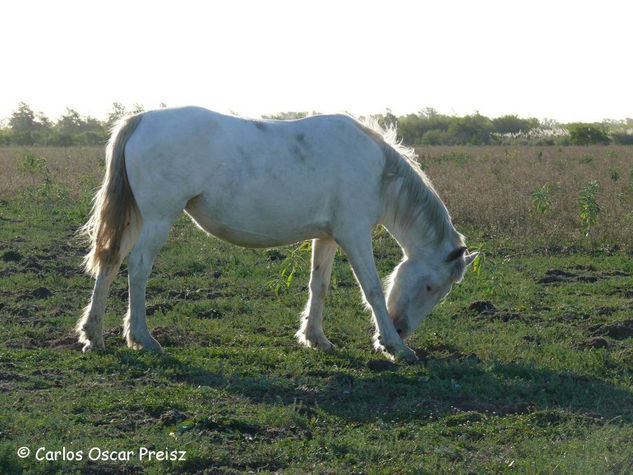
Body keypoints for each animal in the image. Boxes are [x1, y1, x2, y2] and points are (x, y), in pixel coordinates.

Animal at [76, 107, 476, 360]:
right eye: (431, 287)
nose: (402, 328)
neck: (377, 170)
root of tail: (141, 119)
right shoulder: (354, 234)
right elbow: (373, 290)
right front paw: (396, 348)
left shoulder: (327, 237)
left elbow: (319, 285)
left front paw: (316, 339)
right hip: (158, 218)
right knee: (138, 267)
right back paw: (142, 338)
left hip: (136, 218)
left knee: (110, 263)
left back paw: (94, 335)